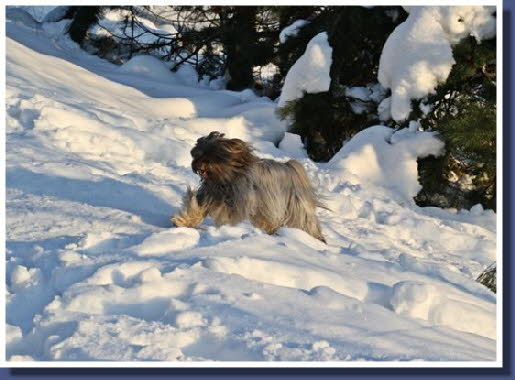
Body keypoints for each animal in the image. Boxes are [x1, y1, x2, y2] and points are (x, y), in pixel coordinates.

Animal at [172, 132, 326, 242]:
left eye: (214, 155)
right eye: (199, 154)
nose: (198, 165)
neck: (225, 179)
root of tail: (290, 167)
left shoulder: (240, 200)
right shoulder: (210, 194)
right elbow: (197, 206)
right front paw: (183, 221)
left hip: (294, 208)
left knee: (305, 223)